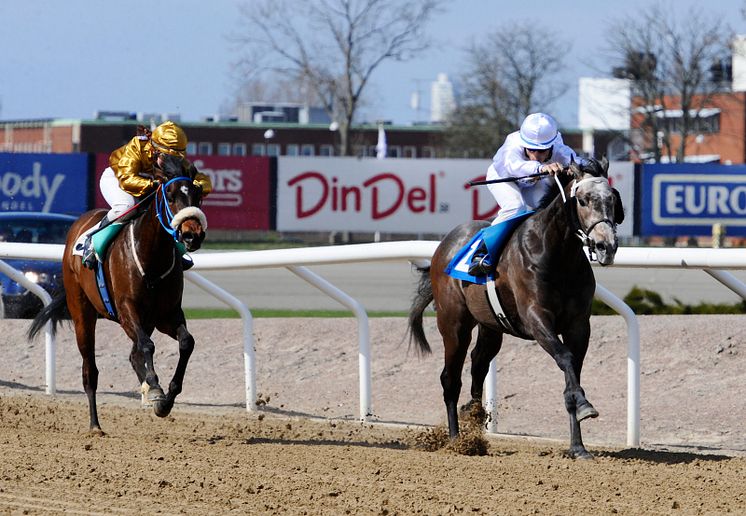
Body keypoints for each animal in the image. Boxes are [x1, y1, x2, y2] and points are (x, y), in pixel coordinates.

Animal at [28, 155, 206, 434]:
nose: (192, 234)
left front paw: (165, 400)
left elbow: (186, 342)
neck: (151, 257)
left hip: (147, 320)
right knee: (90, 370)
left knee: (134, 355)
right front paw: (155, 389)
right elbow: (148, 345)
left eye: (197, 195)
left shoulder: (167, 315)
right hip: (82, 313)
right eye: (170, 194)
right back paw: (95, 424)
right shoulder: (126, 310)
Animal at [406, 157, 620, 460]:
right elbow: (565, 358)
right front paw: (584, 405)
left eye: (612, 198)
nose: (606, 246)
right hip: (454, 324)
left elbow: (572, 374)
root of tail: (443, 245)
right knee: (451, 379)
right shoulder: (536, 318)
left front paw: (578, 444)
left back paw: (473, 417)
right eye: (582, 200)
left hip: (490, 326)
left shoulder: (579, 325)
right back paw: (457, 439)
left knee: (478, 363)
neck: (558, 255)